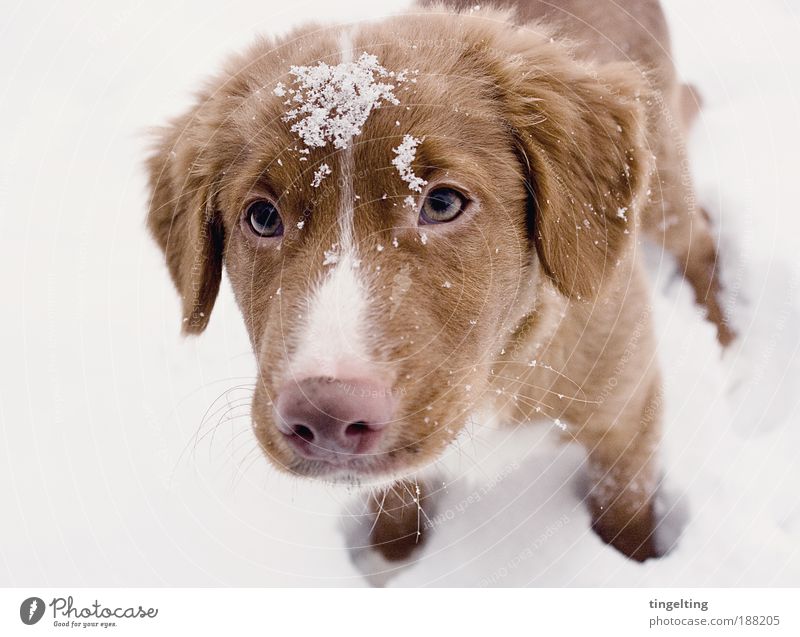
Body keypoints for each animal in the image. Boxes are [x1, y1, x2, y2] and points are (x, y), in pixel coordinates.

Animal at [145, 0, 732, 564]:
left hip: (663, 186)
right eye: (263, 217)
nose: (327, 416)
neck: (494, 377)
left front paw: (633, 563)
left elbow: (624, 512)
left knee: (701, 241)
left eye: (443, 203)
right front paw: (394, 564)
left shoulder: (629, 412)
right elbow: (395, 509)